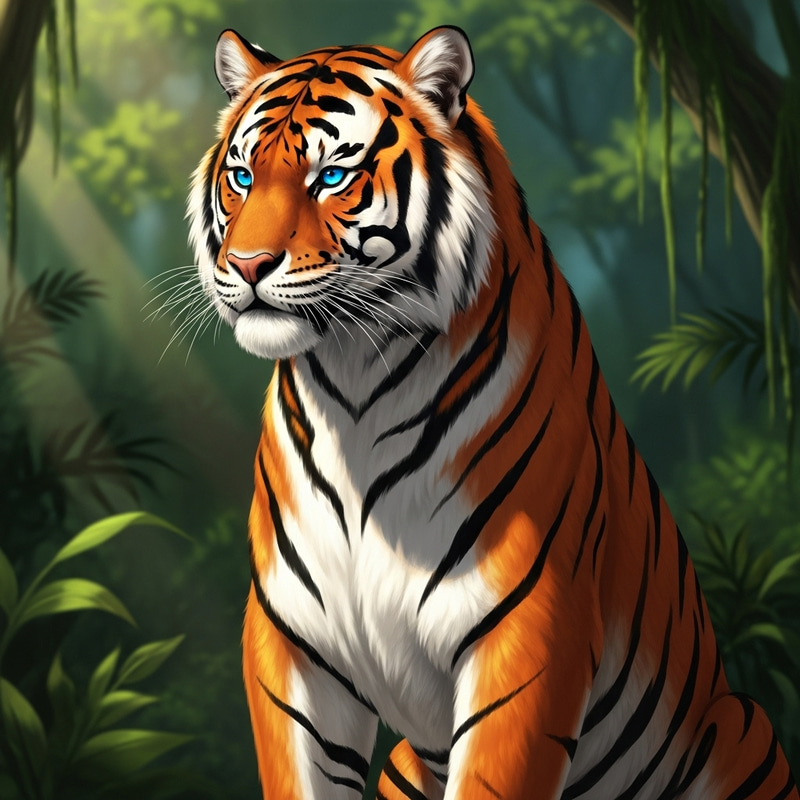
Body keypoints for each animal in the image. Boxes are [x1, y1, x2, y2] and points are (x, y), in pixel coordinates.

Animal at [187, 24, 799, 800]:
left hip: (742, 731)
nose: (246, 264)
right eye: (241, 176)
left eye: (331, 177)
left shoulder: (528, 630)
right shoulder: (289, 645)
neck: (351, 386)